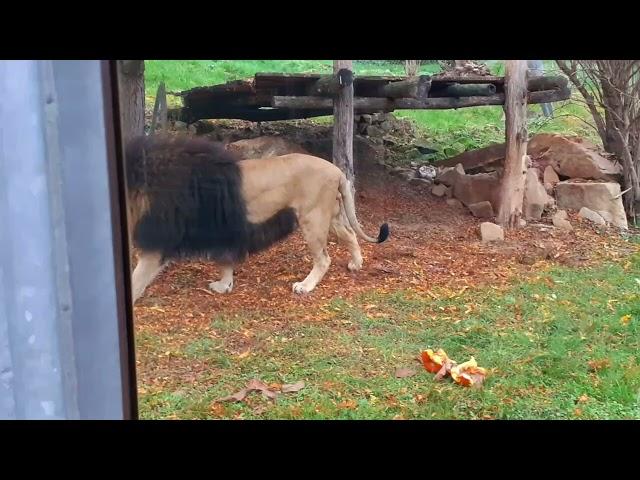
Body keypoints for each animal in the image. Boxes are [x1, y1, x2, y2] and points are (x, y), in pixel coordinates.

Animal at [123, 134, 388, 304]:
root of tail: (337, 170)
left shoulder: (161, 238)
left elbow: (137, 277)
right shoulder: (222, 231)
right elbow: (225, 261)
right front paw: (224, 286)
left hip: (313, 220)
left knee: (324, 259)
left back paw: (305, 286)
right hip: (329, 216)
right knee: (350, 235)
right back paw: (356, 263)